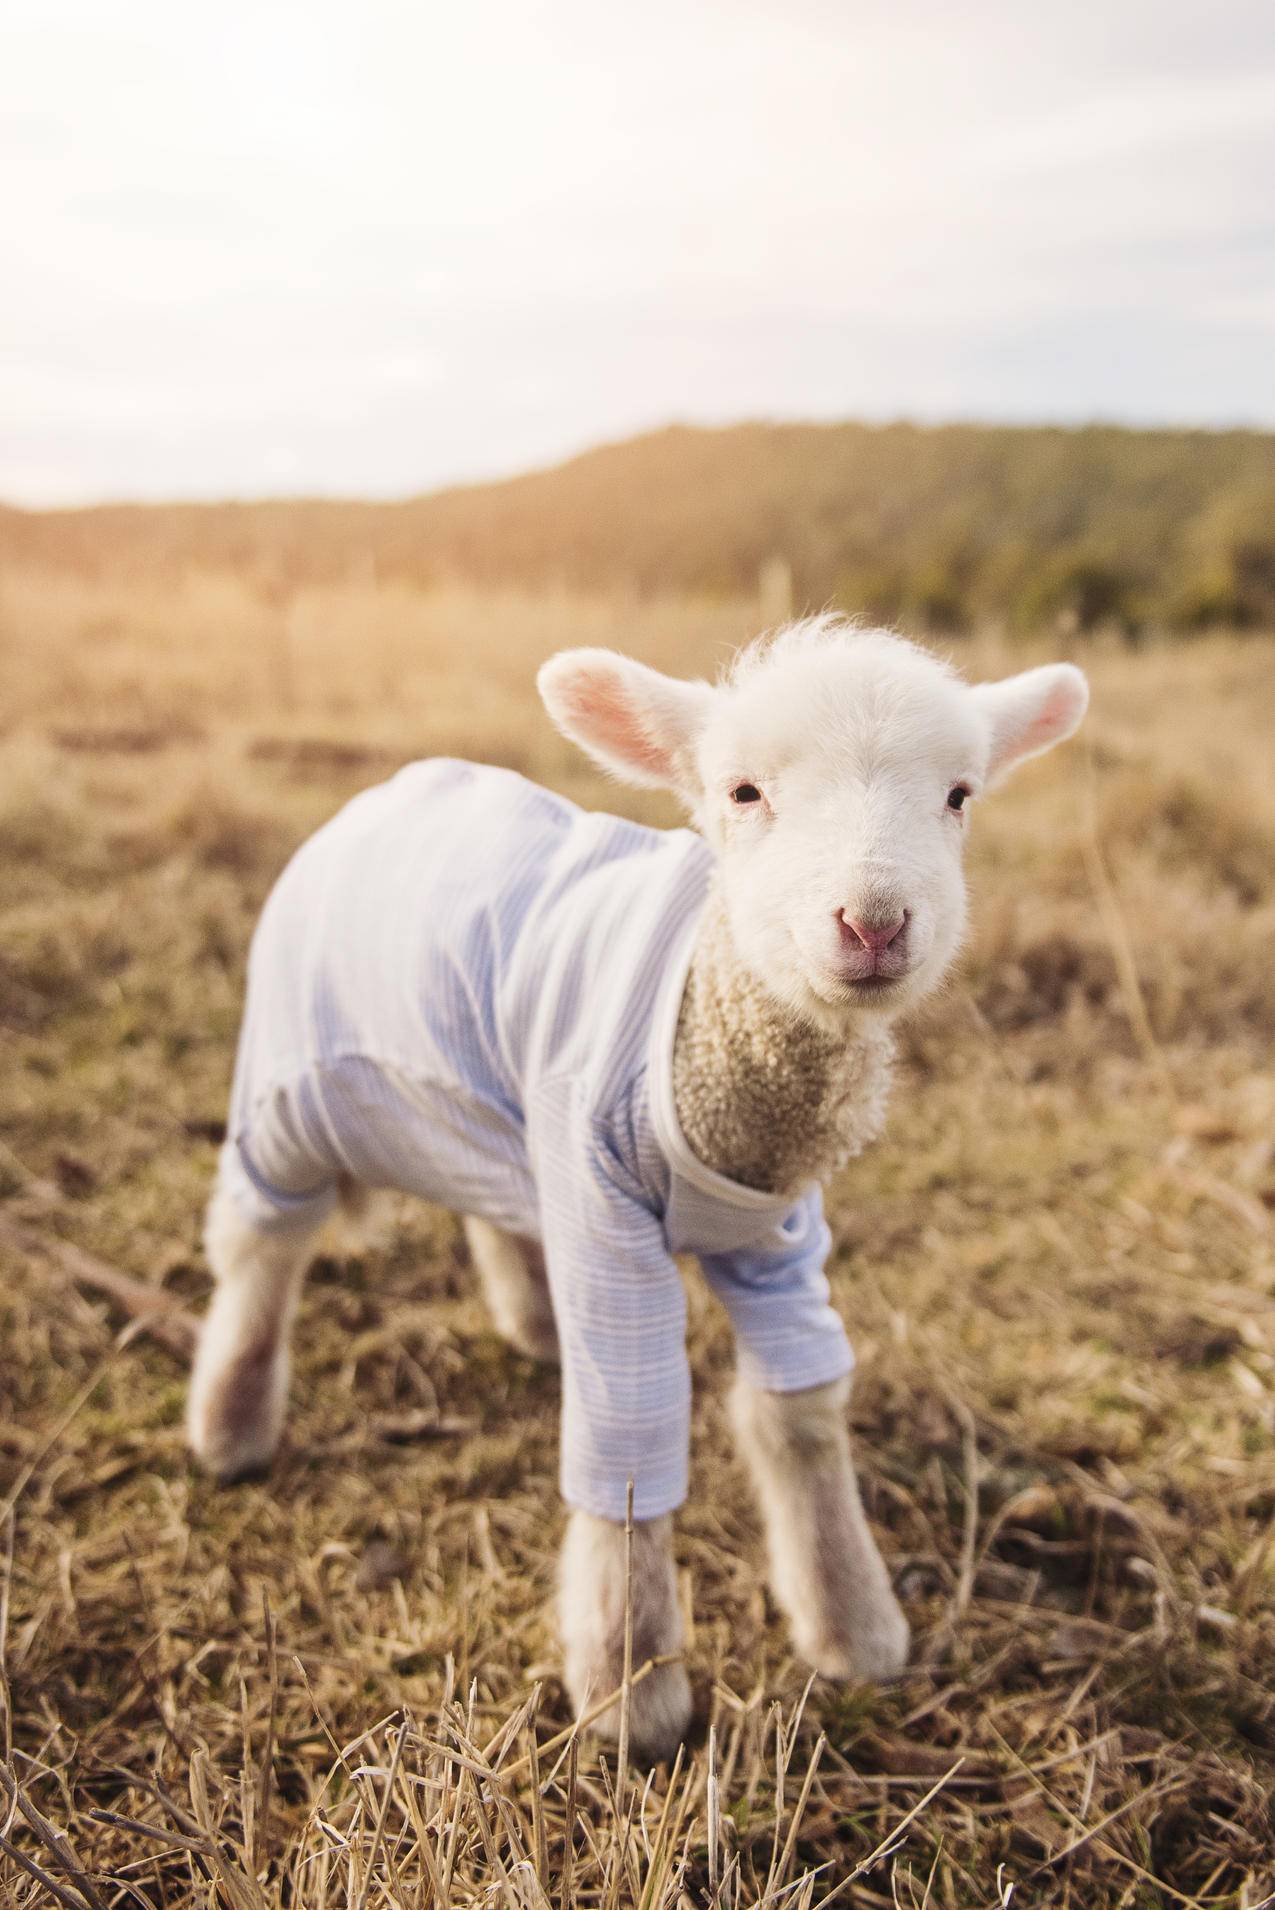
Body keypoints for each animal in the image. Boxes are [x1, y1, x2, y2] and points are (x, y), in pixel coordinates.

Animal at [187, 615, 1084, 1757]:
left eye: (961, 794)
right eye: (742, 791)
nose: (875, 924)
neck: (717, 1033)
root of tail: (380, 793)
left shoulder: (780, 1232)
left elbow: (801, 1413)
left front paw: (854, 1625)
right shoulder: (605, 1216)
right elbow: (630, 1440)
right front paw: (633, 1689)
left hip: (498, 1108)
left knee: (485, 1198)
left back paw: (528, 1322)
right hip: (290, 1088)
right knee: (260, 1242)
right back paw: (230, 1423)